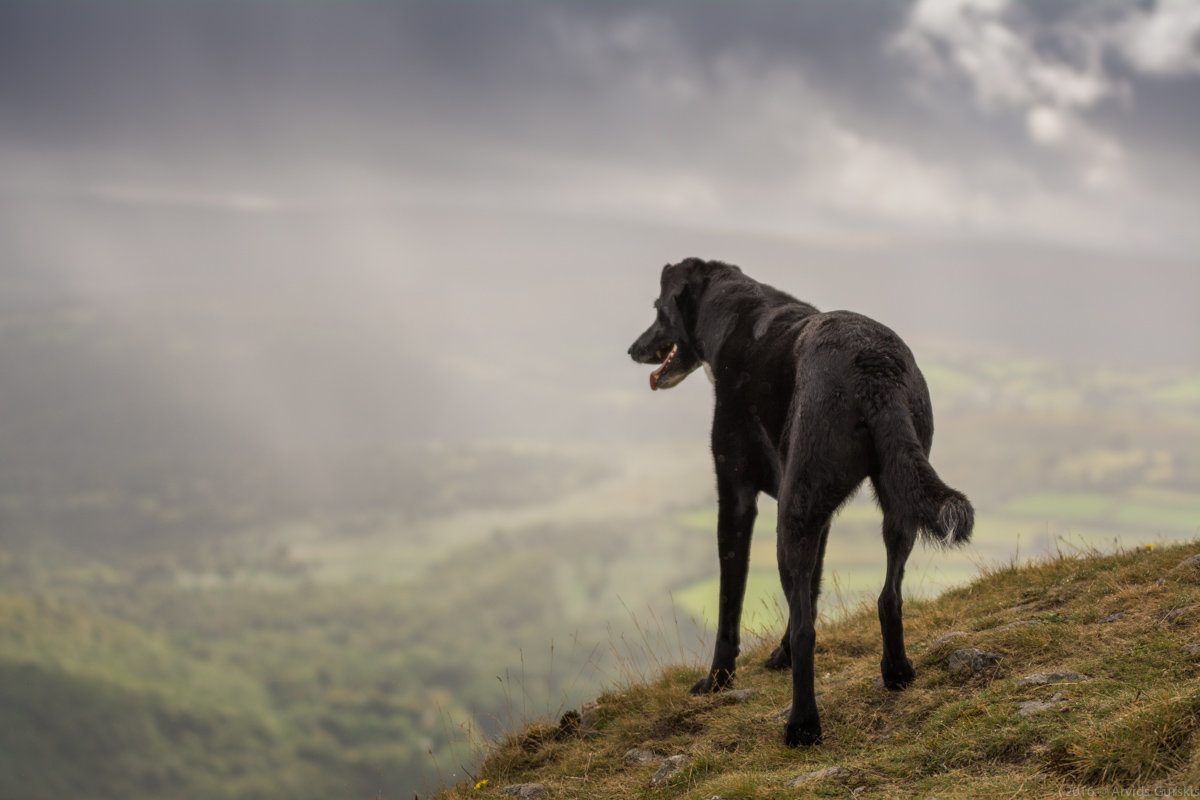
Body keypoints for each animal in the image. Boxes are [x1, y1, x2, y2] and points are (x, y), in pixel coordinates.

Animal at [628, 260, 974, 748]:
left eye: (658, 309)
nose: (632, 349)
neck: (734, 311)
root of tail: (874, 370)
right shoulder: (820, 518)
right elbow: (807, 593)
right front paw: (781, 655)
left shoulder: (736, 498)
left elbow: (731, 602)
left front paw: (717, 680)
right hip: (894, 496)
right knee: (889, 595)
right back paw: (896, 672)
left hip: (791, 518)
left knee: (810, 628)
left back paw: (803, 725)